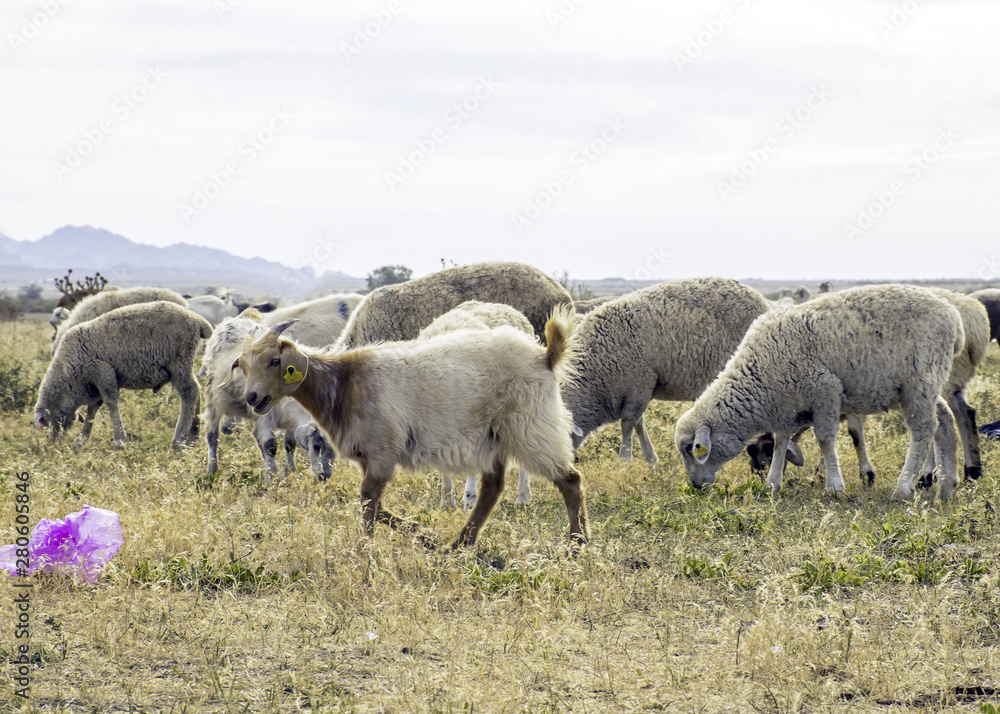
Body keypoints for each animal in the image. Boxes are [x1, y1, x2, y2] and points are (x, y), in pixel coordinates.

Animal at [34, 301, 212, 450]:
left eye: (47, 422)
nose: (54, 442)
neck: (67, 376)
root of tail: (198, 320)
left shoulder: (102, 372)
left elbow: (111, 404)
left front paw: (119, 440)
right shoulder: (96, 383)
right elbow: (92, 409)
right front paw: (81, 440)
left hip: (179, 361)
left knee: (189, 393)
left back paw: (179, 439)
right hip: (181, 365)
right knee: (195, 389)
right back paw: (193, 436)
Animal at [201, 315, 335, 482]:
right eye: (316, 446)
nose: (325, 475)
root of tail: (229, 321)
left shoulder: (289, 418)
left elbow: (289, 444)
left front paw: (289, 473)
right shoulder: (265, 414)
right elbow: (270, 445)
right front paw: (271, 479)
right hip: (213, 398)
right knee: (212, 435)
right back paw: (212, 470)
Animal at [562, 277, 772, 464]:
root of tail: (762, 301)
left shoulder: (639, 385)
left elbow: (628, 424)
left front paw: (625, 461)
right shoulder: (637, 391)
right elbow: (639, 423)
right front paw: (650, 459)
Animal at [674, 284, 965, 501]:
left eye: (691, 449)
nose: (695, 486)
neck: (758, 374)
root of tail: (953, 315)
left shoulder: (825, 391)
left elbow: (824, 440)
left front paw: (835, 486)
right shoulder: (787, 406)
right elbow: (781, 442)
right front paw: (772, 484)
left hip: (920, 380)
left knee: (923, 429)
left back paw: (904, 488)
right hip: (919, 385)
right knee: (944, 421)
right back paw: (947, 485)